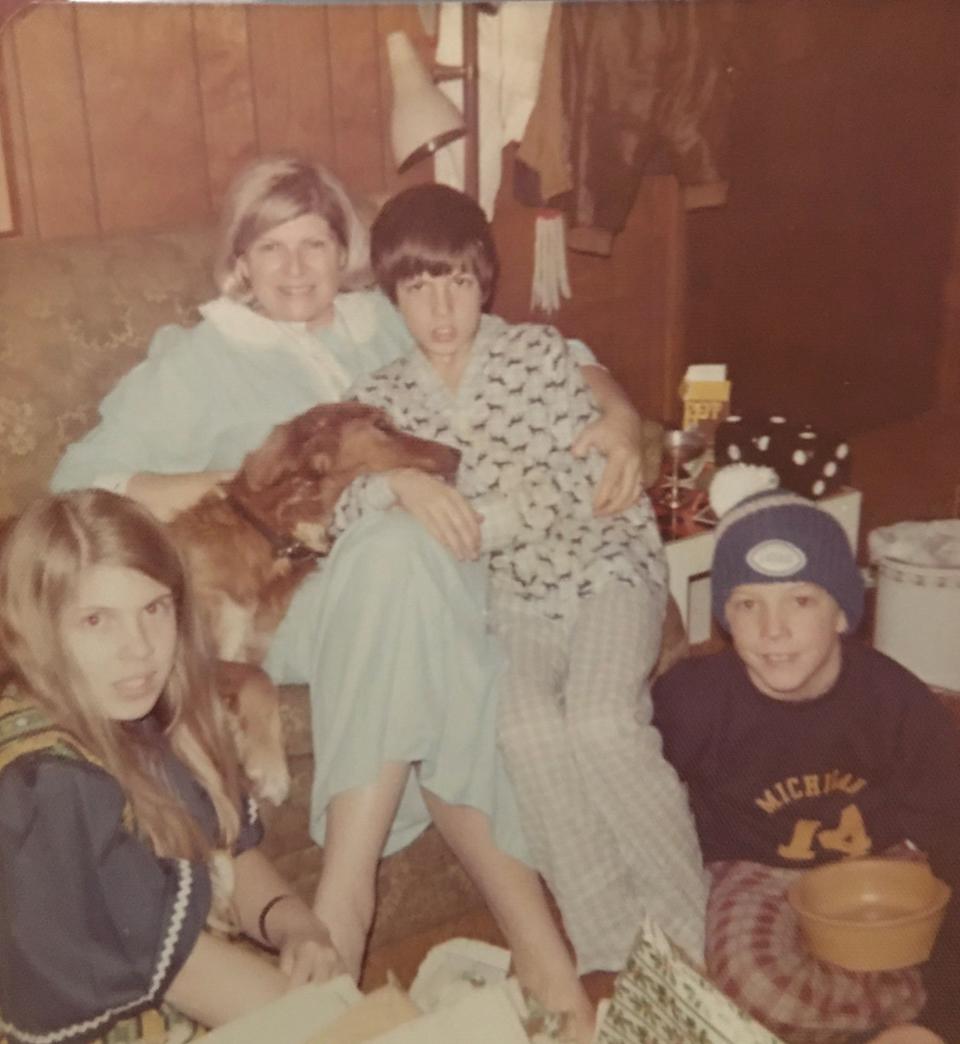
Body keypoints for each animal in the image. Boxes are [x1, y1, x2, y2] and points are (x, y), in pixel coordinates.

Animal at [169, 402, 461, 801]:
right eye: (382, 427)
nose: (458, 454)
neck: (272, 540)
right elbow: (259, 681)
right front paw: (270, 767)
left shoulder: (245, 649)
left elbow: (253, 680)